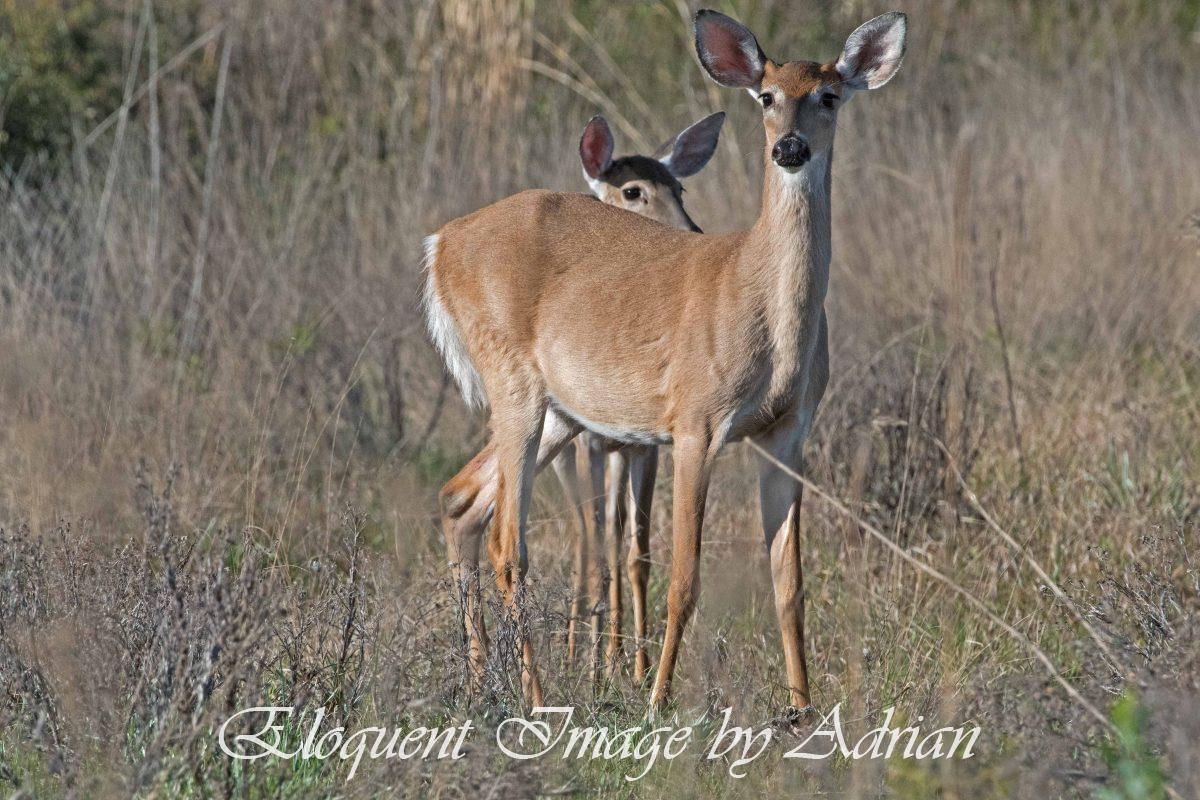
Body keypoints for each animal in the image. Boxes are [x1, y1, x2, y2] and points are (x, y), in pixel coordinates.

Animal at [435, 111, 726, 689]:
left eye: (679, 187)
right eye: (632, 190)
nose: (691, 233)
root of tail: (439, 246)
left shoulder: (640, 443)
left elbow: (635, 550)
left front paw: (631, 665)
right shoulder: (596, 444)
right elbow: (597, 543)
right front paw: (599, 663)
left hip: (554, 423)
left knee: (461, 498)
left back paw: (484, 677)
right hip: (538, 413)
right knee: (531, 532)